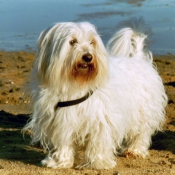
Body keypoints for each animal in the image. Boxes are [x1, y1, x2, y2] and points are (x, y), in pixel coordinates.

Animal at [22, 19, 167, 170]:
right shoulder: (60, 120)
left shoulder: (101, 119)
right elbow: (63, 142)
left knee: (141, 133)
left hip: (143, 112)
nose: (88, 57)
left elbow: (99, 142)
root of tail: (138, 59)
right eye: (72, 41)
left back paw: (135, 150)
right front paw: (59, 162)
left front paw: (99, 163)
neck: (76, 83)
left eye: (92, 42)